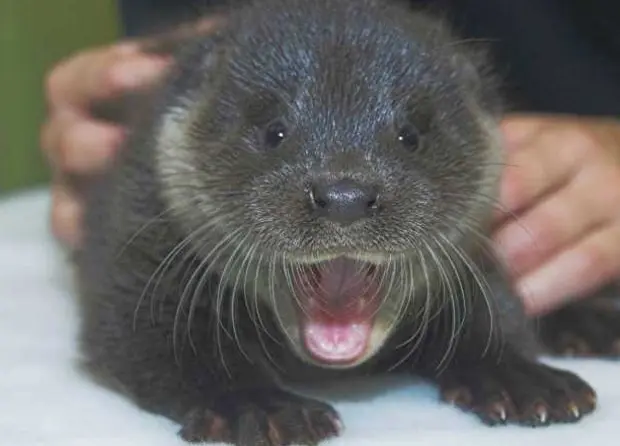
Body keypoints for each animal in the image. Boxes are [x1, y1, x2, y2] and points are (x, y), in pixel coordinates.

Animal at [75, 0, 616, 444]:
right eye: (274, 132)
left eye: (409, 135)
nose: (344, 196)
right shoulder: (141, 234)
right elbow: (156, 338)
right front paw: (256, 407)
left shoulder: (475, 254)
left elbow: (495, 310)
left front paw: (520, 378)